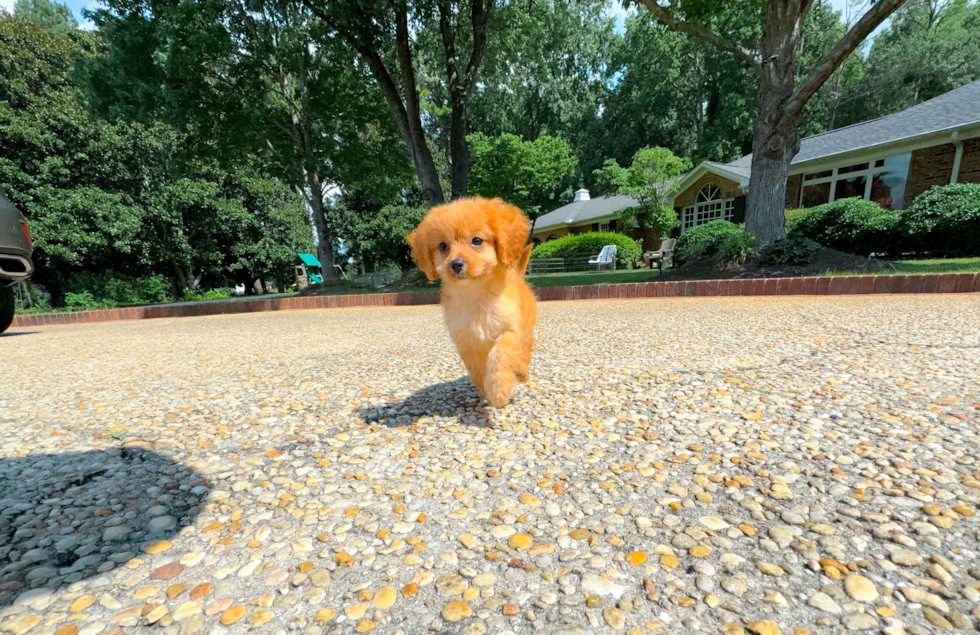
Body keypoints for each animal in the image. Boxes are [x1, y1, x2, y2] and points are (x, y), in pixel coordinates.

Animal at [410, 198, 540, 408]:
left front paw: (499, 389)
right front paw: (485, 387)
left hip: (526, 328)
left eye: (477, 240)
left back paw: (521, 372)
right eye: (443, 246)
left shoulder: (510, 329)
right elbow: (476, 368)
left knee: (525, 351)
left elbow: (501, 354)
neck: (475, 294)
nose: (456, 264)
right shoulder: (465, 339)